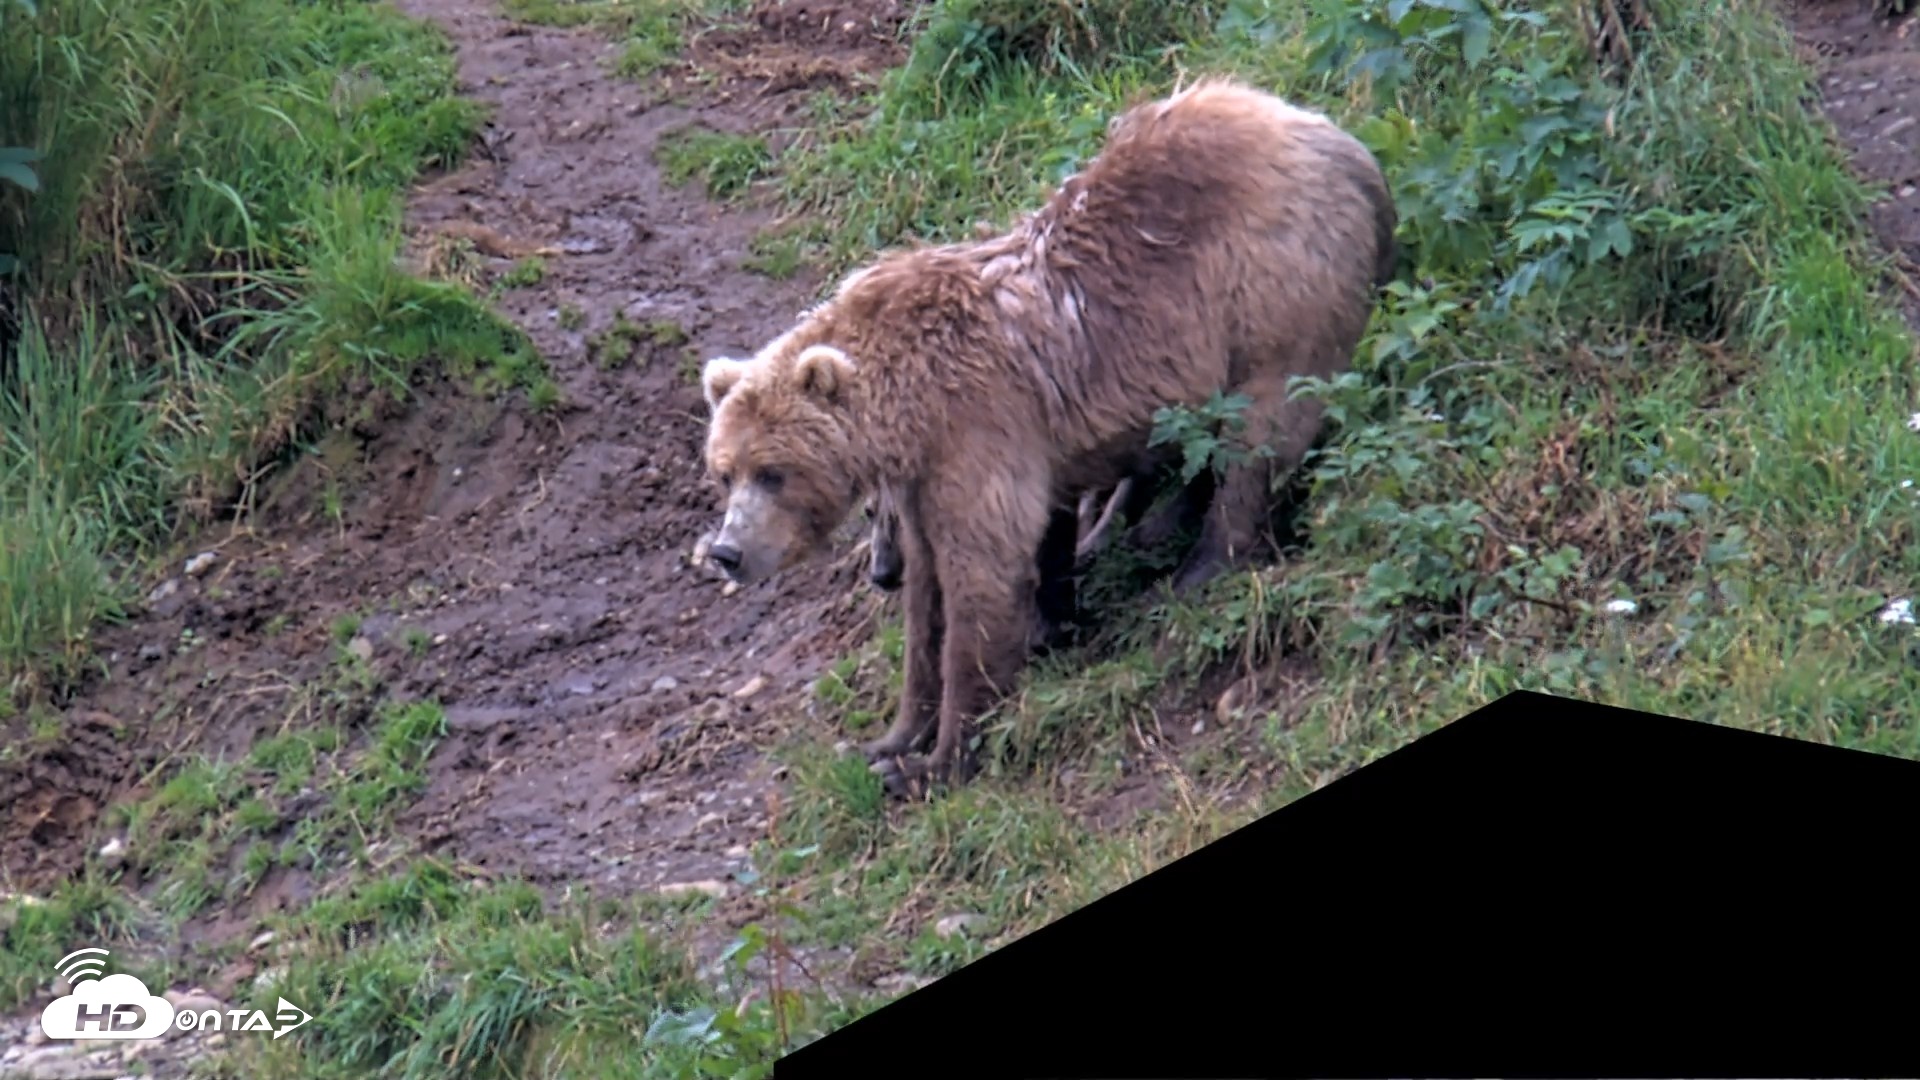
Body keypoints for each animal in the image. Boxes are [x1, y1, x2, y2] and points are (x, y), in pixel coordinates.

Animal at [699, 76, 1399, 793]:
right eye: (724, 472)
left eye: (773, 471)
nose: (726, 551)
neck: (903, 402)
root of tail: (1342, 144)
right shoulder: (927, 471)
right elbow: (929, 596)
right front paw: (889, 737)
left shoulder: (975, 425)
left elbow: (981, 574)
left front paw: (936, 760)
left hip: (1270, 291)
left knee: (1260, 432)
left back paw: (1200, 566)